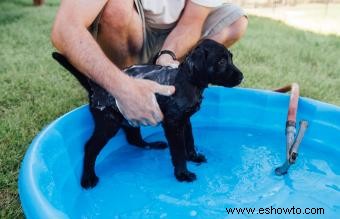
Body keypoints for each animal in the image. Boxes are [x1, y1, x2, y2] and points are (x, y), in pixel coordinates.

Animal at [52, 39, 244, 188]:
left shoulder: (185, 121)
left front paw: (194, 156)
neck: (188, 81)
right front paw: (182, 174)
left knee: (134, 140)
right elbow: (178, 151)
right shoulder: (173, 124)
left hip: (130, 117)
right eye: (221, 62)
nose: (242, 76)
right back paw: (88, 178)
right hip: (109, 122)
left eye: (230, 58)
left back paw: (153, 145)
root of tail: (95, 87)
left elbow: (189, 141)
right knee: (90, 147)